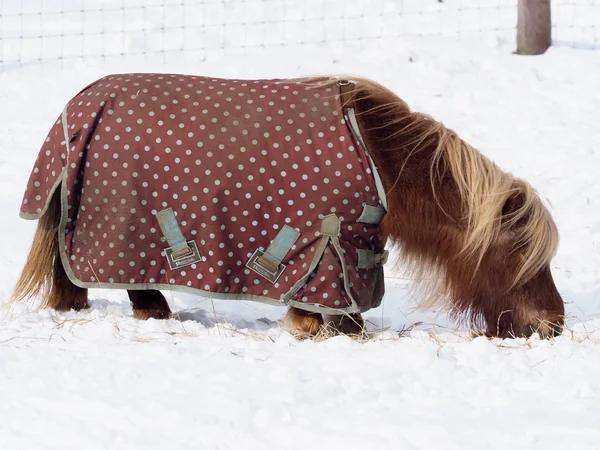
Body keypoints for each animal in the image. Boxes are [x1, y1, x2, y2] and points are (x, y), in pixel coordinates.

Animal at [11, 75, 564, 340]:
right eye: (521, 256)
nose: (553, 324)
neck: (377, 157)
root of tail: (80, 103)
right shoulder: (331, 247)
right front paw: (310, 327)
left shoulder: (350, 247)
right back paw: (148, 310)